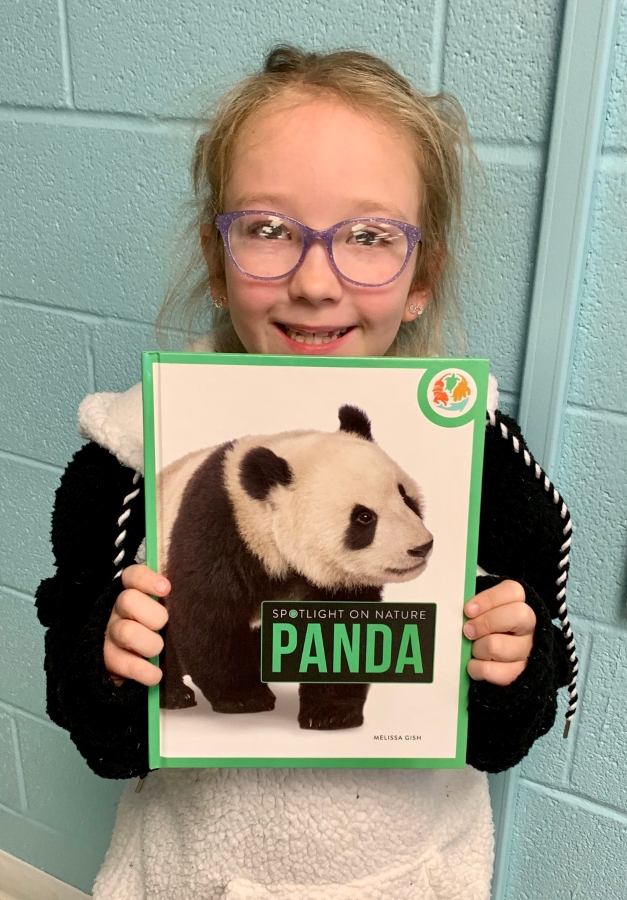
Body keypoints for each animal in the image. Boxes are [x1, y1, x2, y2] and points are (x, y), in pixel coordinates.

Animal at [158, 404, 432, 728]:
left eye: (405, 496)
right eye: (364, 517)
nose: (421, 547)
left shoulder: (335, 580)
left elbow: (341, 634)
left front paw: (331, 712)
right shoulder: (215, 531)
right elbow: (208, 616)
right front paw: (245, 698)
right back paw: (175, 695)